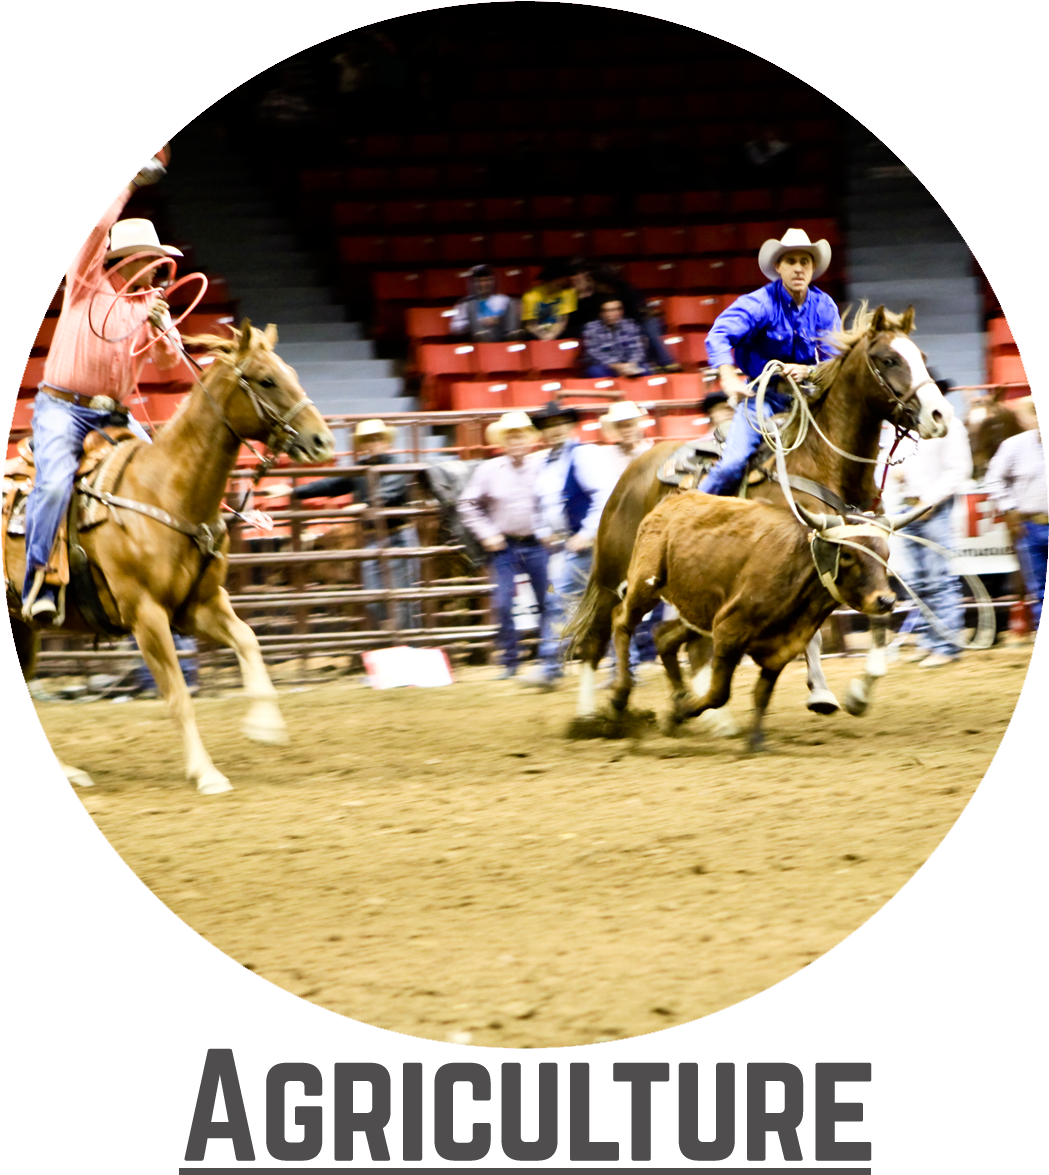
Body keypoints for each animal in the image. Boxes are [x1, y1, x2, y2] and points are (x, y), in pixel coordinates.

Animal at [5, 321, 336, 795]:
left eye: (289, 372)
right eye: (266, 380)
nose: (322, 441)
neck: (167, 490)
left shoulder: (200, 604)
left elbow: (248, 639)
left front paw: (265, 725)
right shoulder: (146, 615)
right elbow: (179, 694)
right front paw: (206, 772)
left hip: (25, 626)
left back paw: (71, 771)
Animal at [566, 303, 955, 732]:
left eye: (922, 357)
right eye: (888, 359)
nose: (940, 415)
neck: (823, 464)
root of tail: (631, 471)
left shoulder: (864, 558)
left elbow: (879, 615)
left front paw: (860, 691)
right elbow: (813, 634)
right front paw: (821, 693)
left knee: (686, 639)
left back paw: (706, 714)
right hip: (615, 572)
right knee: (598, 637)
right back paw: (590, 716)